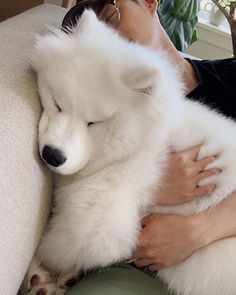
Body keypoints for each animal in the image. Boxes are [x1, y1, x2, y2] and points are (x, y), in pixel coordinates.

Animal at [27, 10, 236, 295]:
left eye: (94, 123)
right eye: (57, 105)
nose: (52, 156)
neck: (135, 146)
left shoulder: (97, 221)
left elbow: (56, 244)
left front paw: (40, 270)